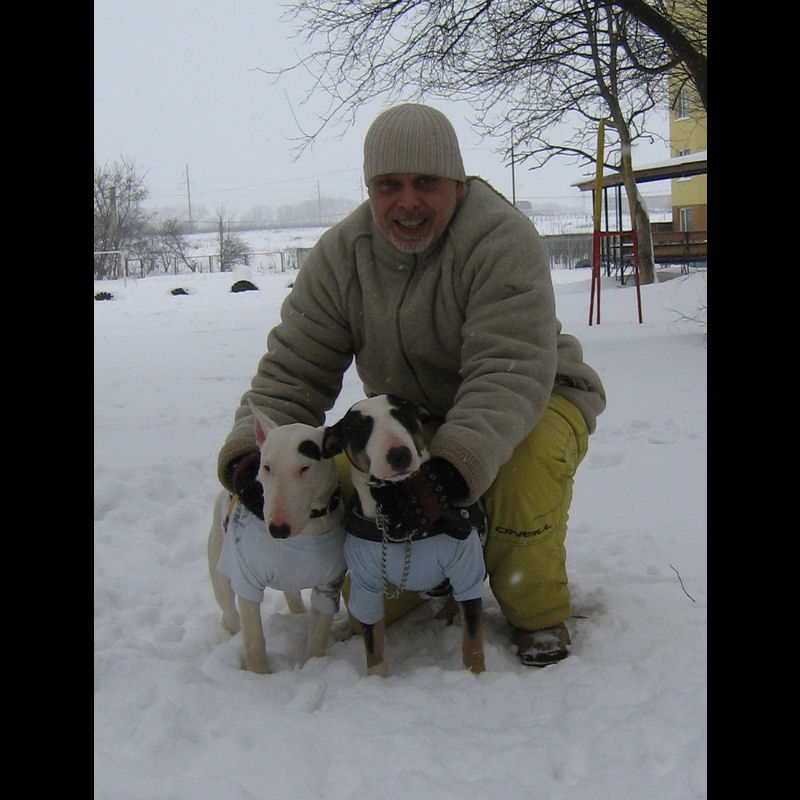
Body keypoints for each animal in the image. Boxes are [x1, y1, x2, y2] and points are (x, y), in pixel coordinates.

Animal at [208, 403, 346, 674]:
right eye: (266, 466)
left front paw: (314, 666)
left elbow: (319, 634)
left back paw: (299, 613)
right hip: (219, 563)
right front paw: (258, 674)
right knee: (227, 607)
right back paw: (233, 633)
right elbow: (254, 637)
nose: (278, 529)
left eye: (305, 467)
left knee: (292, 593)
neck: (308, 529)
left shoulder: (329, 584)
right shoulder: (247, 578)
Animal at [322, 394, 486, 677]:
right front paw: (377, 680)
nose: (399, 454)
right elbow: (372, 642)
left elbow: (473, 637)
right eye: (360, 427)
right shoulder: (366, 584)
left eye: (404, 416)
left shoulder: (466, 569)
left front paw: (476, 676)